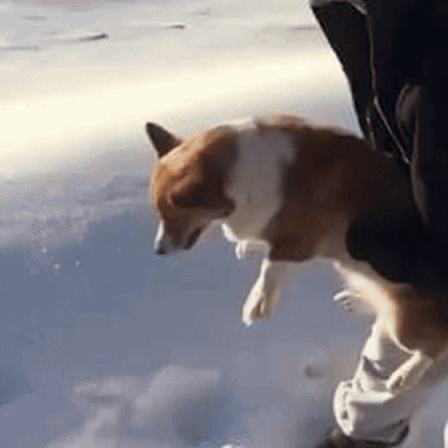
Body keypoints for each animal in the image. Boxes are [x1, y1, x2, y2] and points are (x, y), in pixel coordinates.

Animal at [146, 114, 448, 391]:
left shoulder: (299, 241)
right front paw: (247, 245)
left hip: (403, 324)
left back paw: (406, 374)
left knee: (434, 344)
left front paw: (257, 303)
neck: (239, 175)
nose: (158, 250)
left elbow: (270, 266)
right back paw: (356, 301)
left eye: (171, 215)